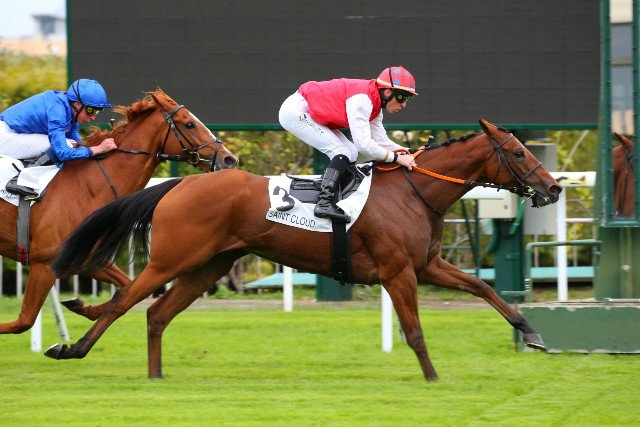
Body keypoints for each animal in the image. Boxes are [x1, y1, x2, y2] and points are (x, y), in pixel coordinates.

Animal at [0, 89, 238, 335]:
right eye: (189, 124)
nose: (230, 159)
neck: (87, 187)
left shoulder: (86, 259)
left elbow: (127, 287)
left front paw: (82, 306)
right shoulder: (44, 264)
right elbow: (23, 321)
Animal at [49, 119, 561, 381]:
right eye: (518, 153)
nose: (554, 187)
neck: (414, 191)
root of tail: (180, 183)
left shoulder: (427, 265)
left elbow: (482, 288)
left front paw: (532, 332)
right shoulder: (398, 272)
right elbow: (415, 331)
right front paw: (432, 377)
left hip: (209, 266)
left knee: (157, 313)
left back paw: (155, 374)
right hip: (173, 259)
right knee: (124, 301)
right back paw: (72, 348)